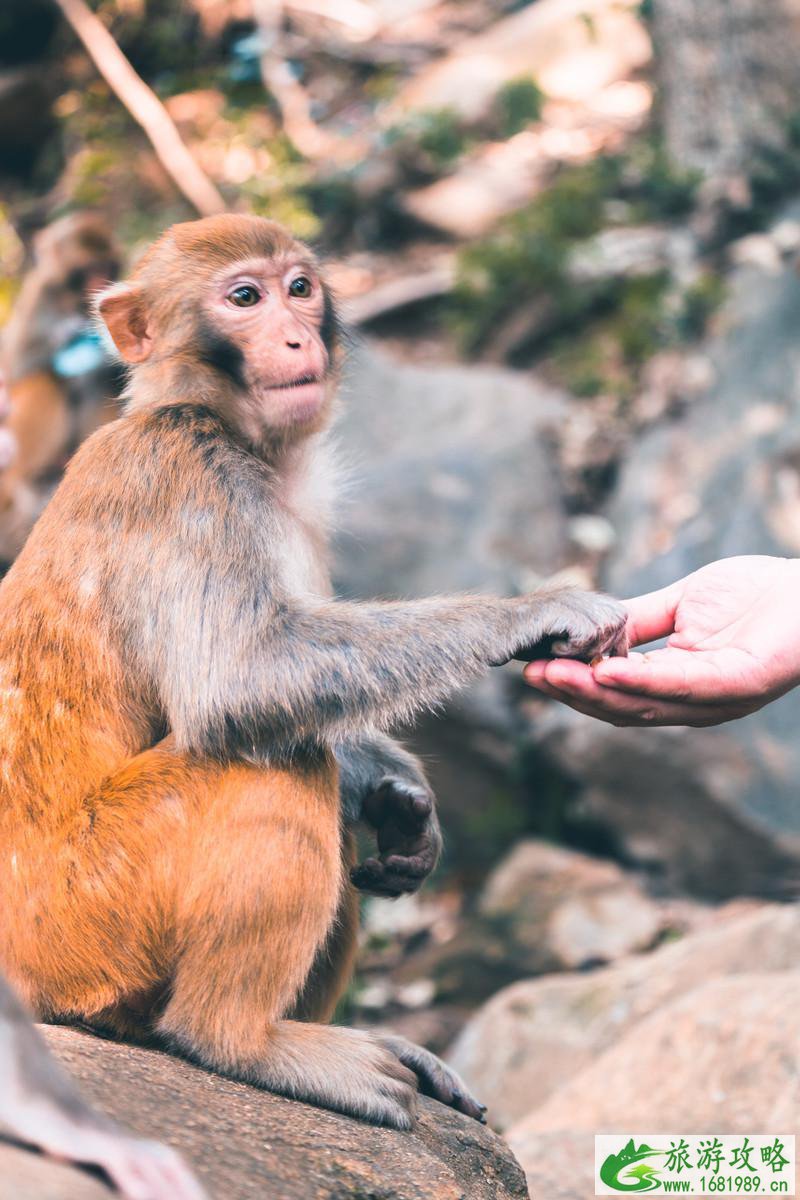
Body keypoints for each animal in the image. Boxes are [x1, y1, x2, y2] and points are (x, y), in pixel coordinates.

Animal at [0, 212, 122, 566]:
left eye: (106, 268)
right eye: (87, 271)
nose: (99, 286)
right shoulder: (37, 302)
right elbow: (21, 365)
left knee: (98, 380)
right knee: (46, 378)